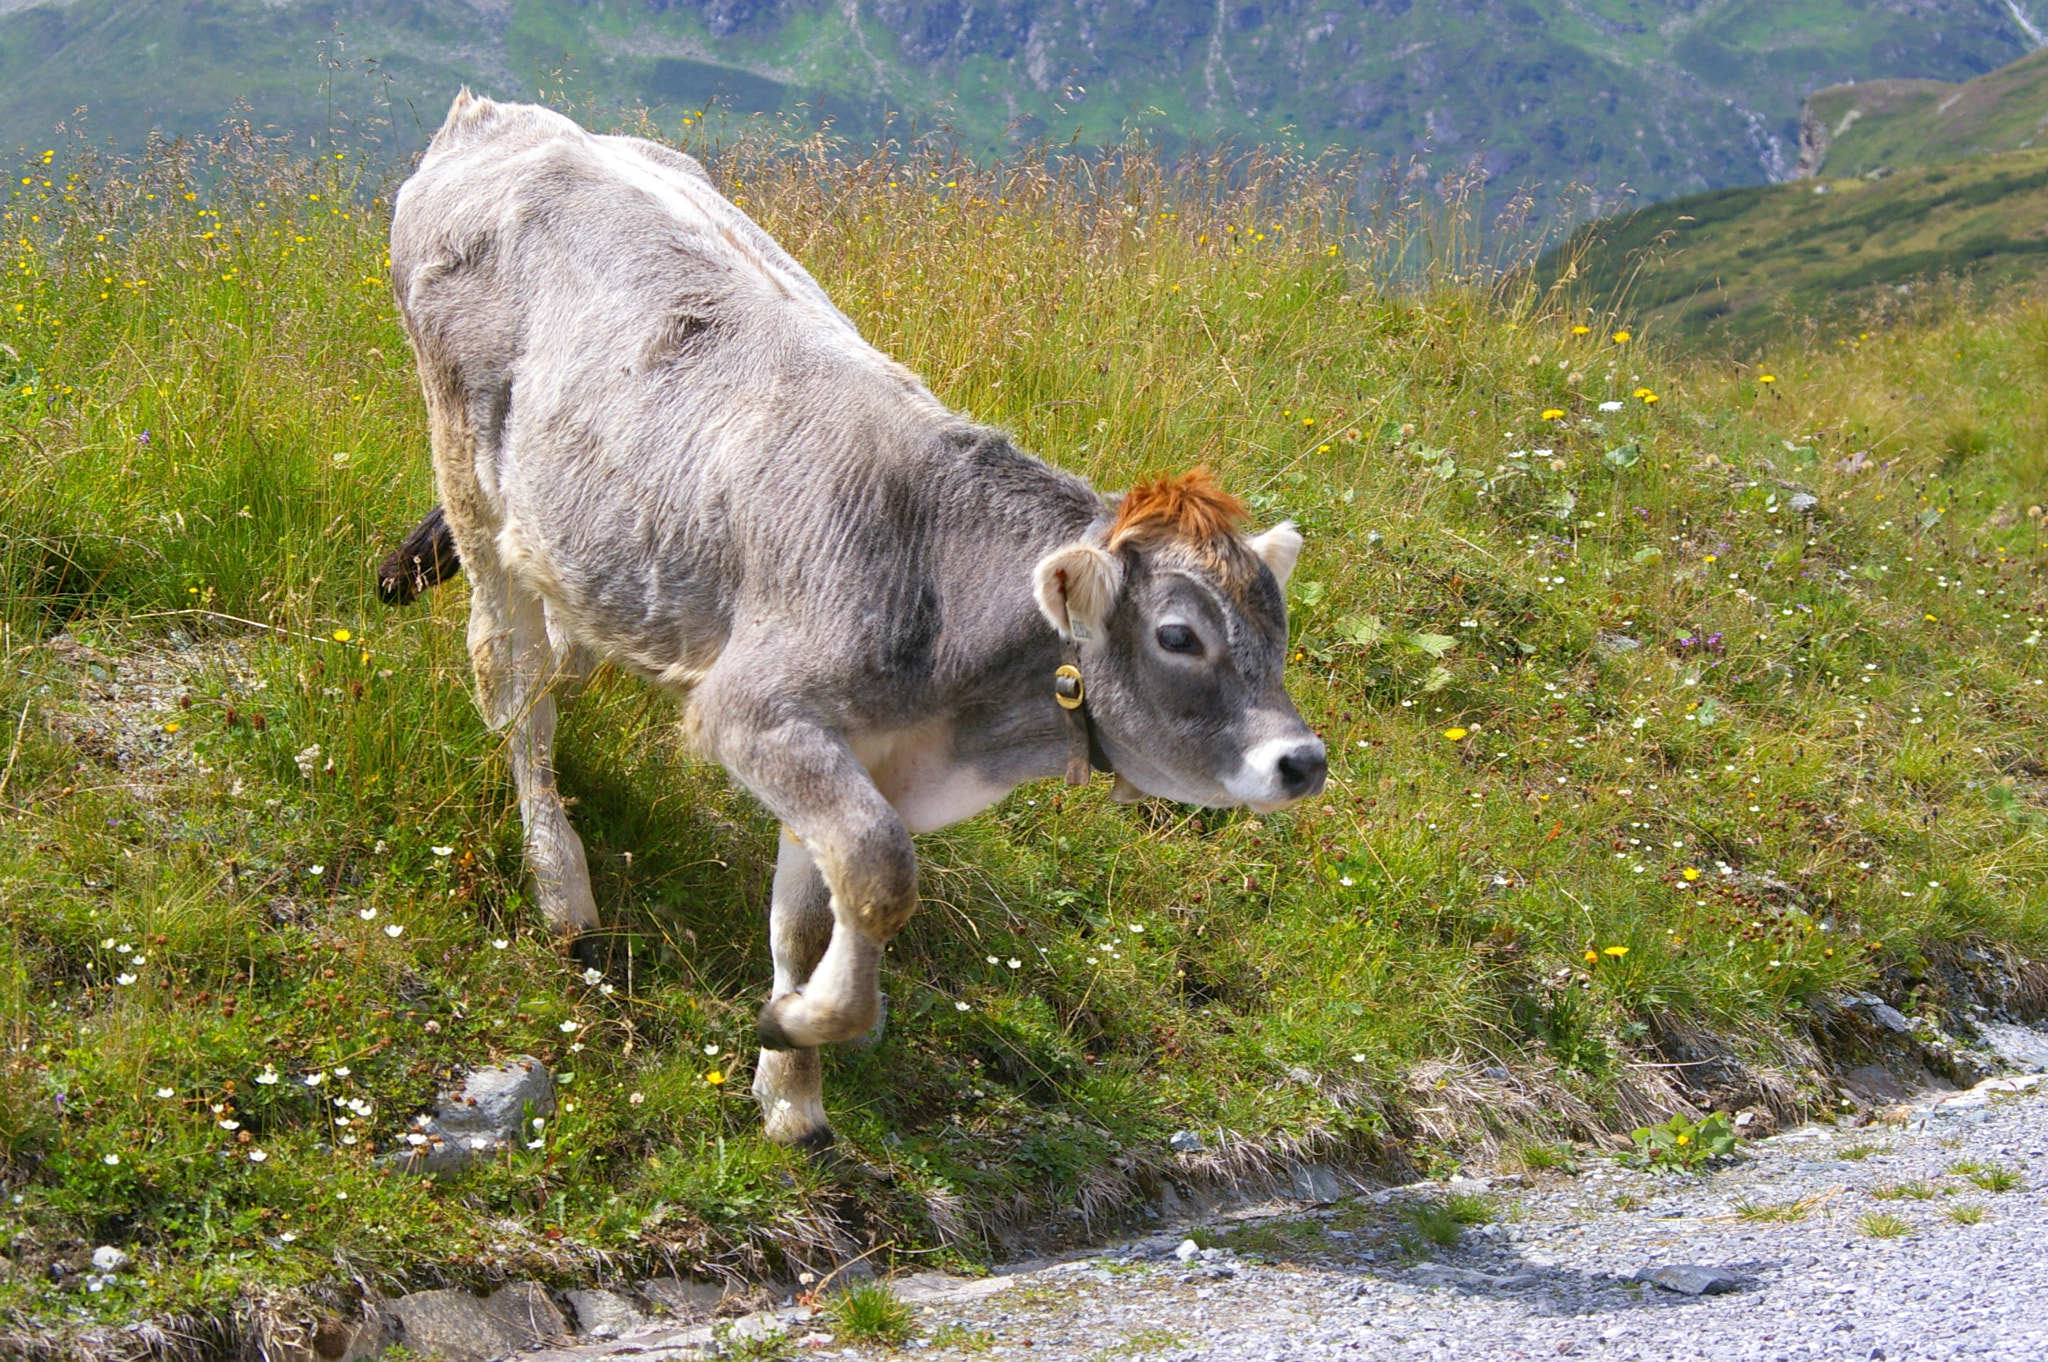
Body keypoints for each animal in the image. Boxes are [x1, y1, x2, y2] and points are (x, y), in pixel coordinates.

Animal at [385, 93, 1327, 1146]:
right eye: (1178, 636)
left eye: (1279, 631)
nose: (1303, 760)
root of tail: (502, 117)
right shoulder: (754, 710)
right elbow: (881, 876)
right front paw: (804, 1023)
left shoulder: (851, 747)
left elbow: (813, 910)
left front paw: (792, 1088)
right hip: (467, 470)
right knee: (514, 685)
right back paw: (561, 886)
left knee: (561, 648)